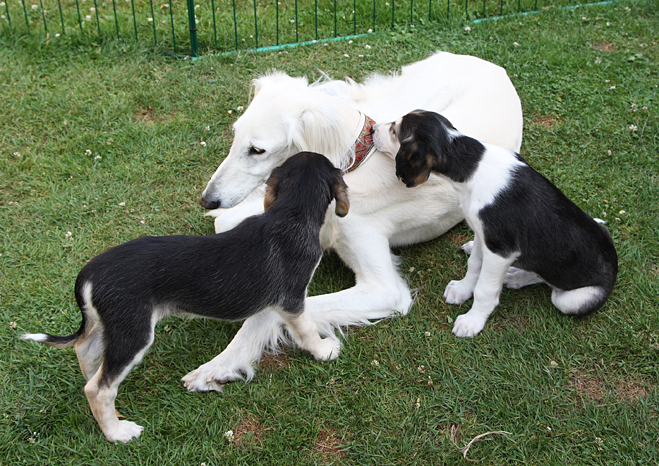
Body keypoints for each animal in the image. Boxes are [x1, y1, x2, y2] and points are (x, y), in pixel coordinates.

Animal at [23, 152, 348, 444]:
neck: (290, 212)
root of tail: (89, 272)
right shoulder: (292, 300)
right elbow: (306, 329)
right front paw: (323, 350)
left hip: (110, 325)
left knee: (87, 354)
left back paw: (94, 380)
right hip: (134, 333)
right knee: (98, 389)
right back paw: (117, 432)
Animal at [183, 52, 524, 394]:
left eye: (257, 150)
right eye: (235, 134)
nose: (208, 200)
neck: (354, 164)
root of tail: (491, 65)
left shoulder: (385, 290)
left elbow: (271, 312)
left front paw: (220, 364)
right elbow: (227, 226)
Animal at [376, 112, 620, 338]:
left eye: (394, 131)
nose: (372, 129)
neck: (472, 164)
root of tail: (615, 267)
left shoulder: (500, 250)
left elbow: (485, 289)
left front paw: (472, 321)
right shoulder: (483, 235)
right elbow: (474, 265)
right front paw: (462, 290)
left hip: (573, 300)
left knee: (551, 285)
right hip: (598, 227)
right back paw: (515, 275)